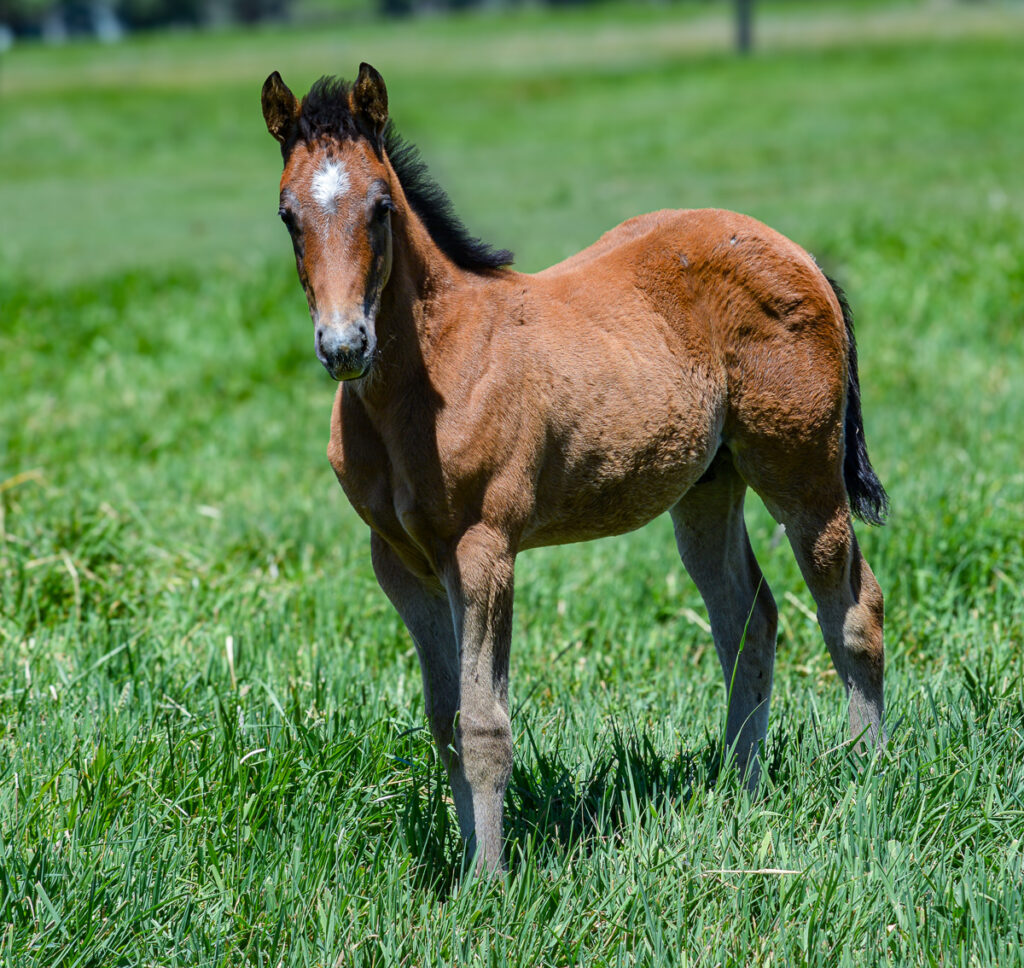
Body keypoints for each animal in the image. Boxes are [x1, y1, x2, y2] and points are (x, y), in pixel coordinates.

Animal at [264, 64, 888, 872]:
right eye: (288, 216)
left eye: (379, 208)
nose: (344, 347)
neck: (433, 372)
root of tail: (798, 253)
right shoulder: (399, 561)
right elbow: (444, 720)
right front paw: (467, 862)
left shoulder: (484, 549)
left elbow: (483, 725)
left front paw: (489, 881)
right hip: (707, 488)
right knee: (749, 622)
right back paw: (739, 789)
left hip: (803, 472)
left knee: (853, 609)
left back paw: (869, 773)